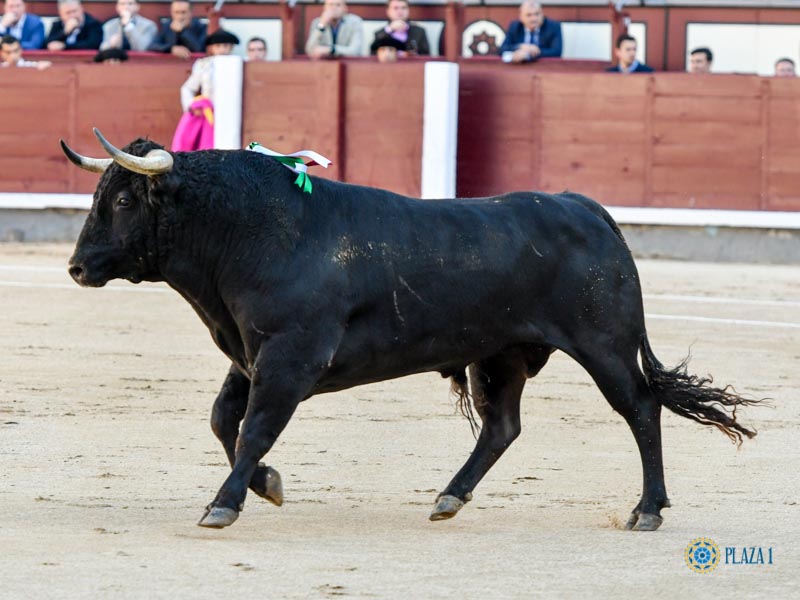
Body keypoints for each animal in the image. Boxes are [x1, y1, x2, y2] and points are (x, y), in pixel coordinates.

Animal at [61, 130, 756, 528]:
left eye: (121, 200)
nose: (76, 267)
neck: (251, 233)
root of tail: (583, 207)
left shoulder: (288, 359)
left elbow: (255, 428)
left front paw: (223, 504)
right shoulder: (248, 357)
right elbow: (223, 421)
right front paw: (267, 486)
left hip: (604, 346)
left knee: (639, 408)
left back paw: (648, 509)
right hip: (502, 355)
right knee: (503, 427)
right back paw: (448, 498)